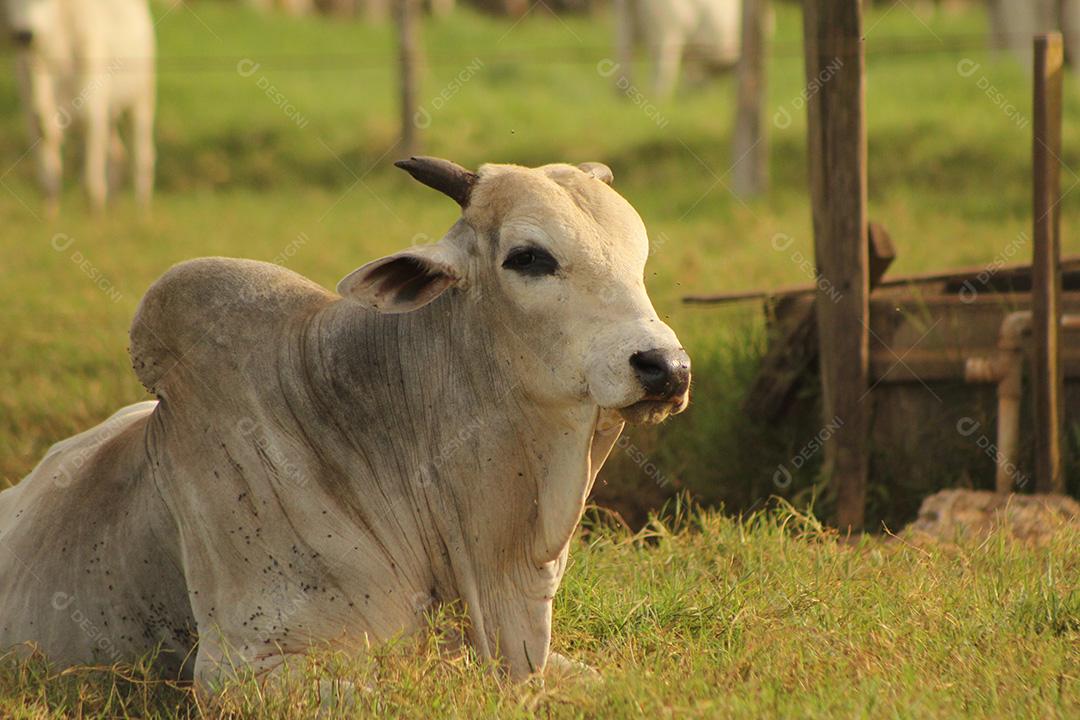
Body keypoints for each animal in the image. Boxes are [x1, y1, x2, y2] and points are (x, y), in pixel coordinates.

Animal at [3, 0, 156, 211]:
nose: (25, 35)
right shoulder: (33, 117)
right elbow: (47, 176)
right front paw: (49, 214)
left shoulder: (93, 114)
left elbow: (91, 181)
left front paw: (95, 215)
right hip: (111, 114)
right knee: (117, 155)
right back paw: (114, 207)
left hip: (141, 101)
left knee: (143, 157)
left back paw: (142, 211)